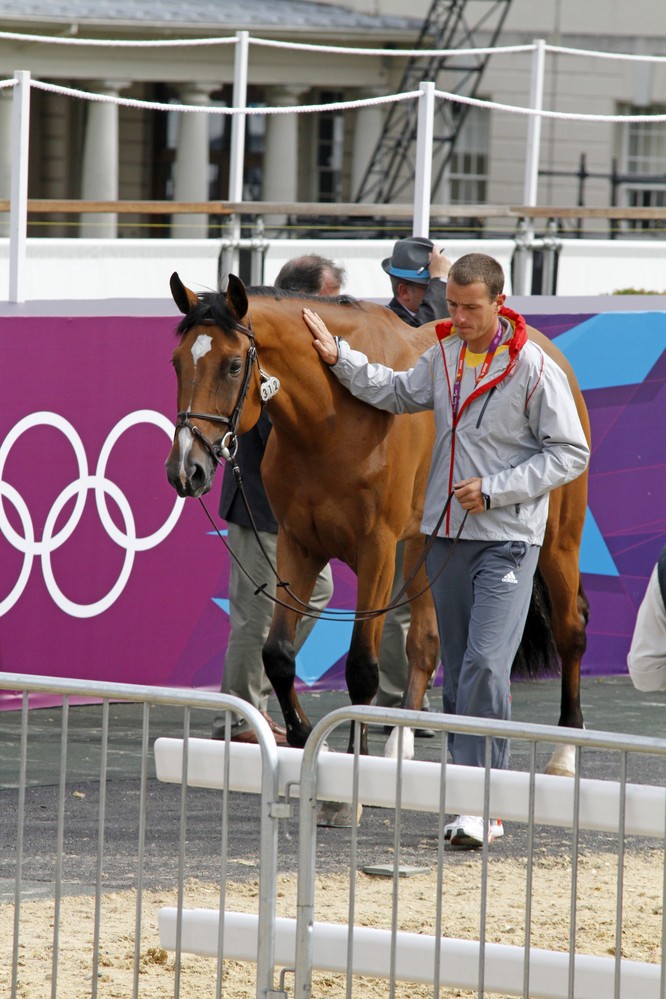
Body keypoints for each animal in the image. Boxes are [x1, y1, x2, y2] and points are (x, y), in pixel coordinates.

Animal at [165, 276, 588, 780]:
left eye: (232, 365)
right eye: (176, 363)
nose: (185, 470)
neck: (332, 420)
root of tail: (551, 355)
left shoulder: (377, 552)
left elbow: (362, 667)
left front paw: (354, 755)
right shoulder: (297, 544)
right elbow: (278, 655)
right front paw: (305, 735)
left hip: (558, 543)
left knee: (570, 631)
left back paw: (564, 752)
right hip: (426, 544)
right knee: (426, 643)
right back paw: (401, 742)